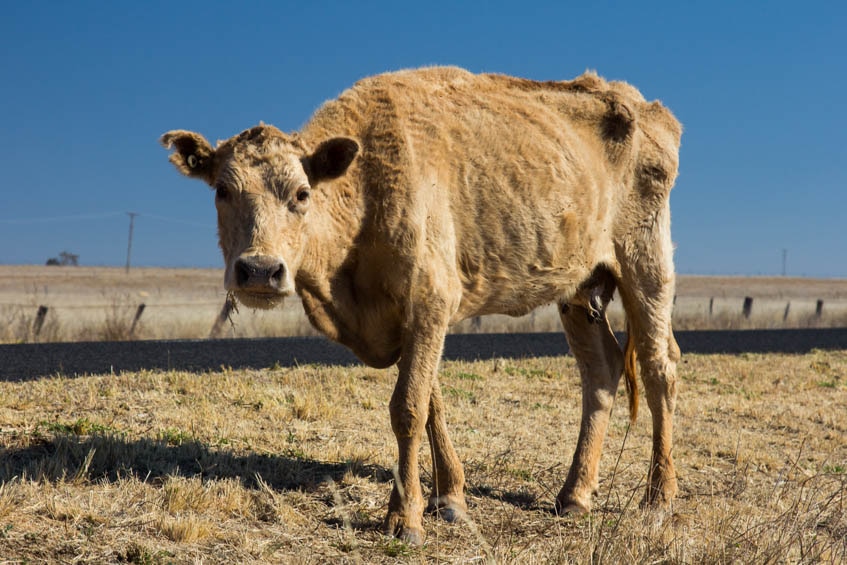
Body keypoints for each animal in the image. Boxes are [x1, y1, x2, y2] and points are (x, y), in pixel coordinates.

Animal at [162, 65, 684, 540]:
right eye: (222, 191)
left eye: (302, 193)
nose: (259, 270)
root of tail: (645, 107)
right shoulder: (415, 318)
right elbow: (430, 401)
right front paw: (448, 497)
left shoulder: (429, 300)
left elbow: (408, 408)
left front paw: (405, 518)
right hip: (579, 288)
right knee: (600, 370)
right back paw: (574, 495)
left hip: (646, 264)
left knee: (659, 368)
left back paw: (658, 499)